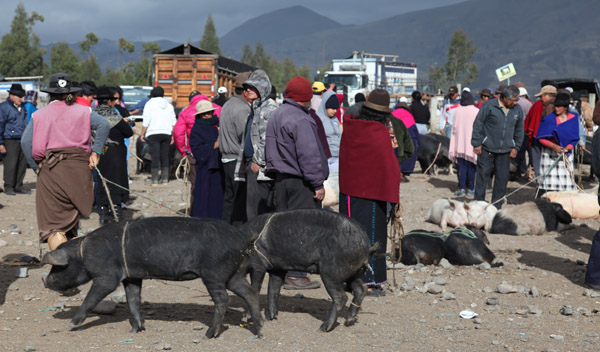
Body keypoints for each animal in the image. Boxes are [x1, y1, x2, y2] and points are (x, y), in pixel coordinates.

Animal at [43, 217, 264, 338]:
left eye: (58, 267)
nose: (45, 281)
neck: (84, 253)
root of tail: (243, 238)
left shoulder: (107, 276)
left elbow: (91, 299)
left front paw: (70, 325)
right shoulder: (132, 277)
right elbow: (133, 300)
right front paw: (136, 330)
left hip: (214, 274)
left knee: (223, 300)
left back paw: (208, 335)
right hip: (234, 274)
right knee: (251, 292)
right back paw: (260, 332)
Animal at [241, 209, 378, 332]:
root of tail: (367, 245)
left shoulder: (258, 264)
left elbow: (256, 288)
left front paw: (249, 318)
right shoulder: (278, 269)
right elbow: (273, 289)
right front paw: (272, 317)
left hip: (330, 273)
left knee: (341, 297)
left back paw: (322, 328)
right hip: (354, 273)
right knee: (361, 289)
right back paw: (349, 321)